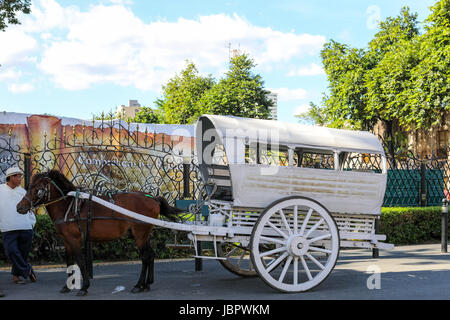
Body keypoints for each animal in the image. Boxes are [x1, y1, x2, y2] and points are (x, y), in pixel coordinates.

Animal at [16, 171, 181, 296]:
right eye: (29, 186)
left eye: (38, 188)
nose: (19, 207)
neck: (68, 206)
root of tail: (153, 198)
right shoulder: (66, 241)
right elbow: (69, 262)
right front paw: (67, 286)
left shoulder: (75, 240)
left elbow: (80, 261)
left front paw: (84, 288)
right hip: (143, 235)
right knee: (150, 255)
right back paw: (147, 284)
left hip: (140, 234)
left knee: (145, 257)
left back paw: (139, 285)